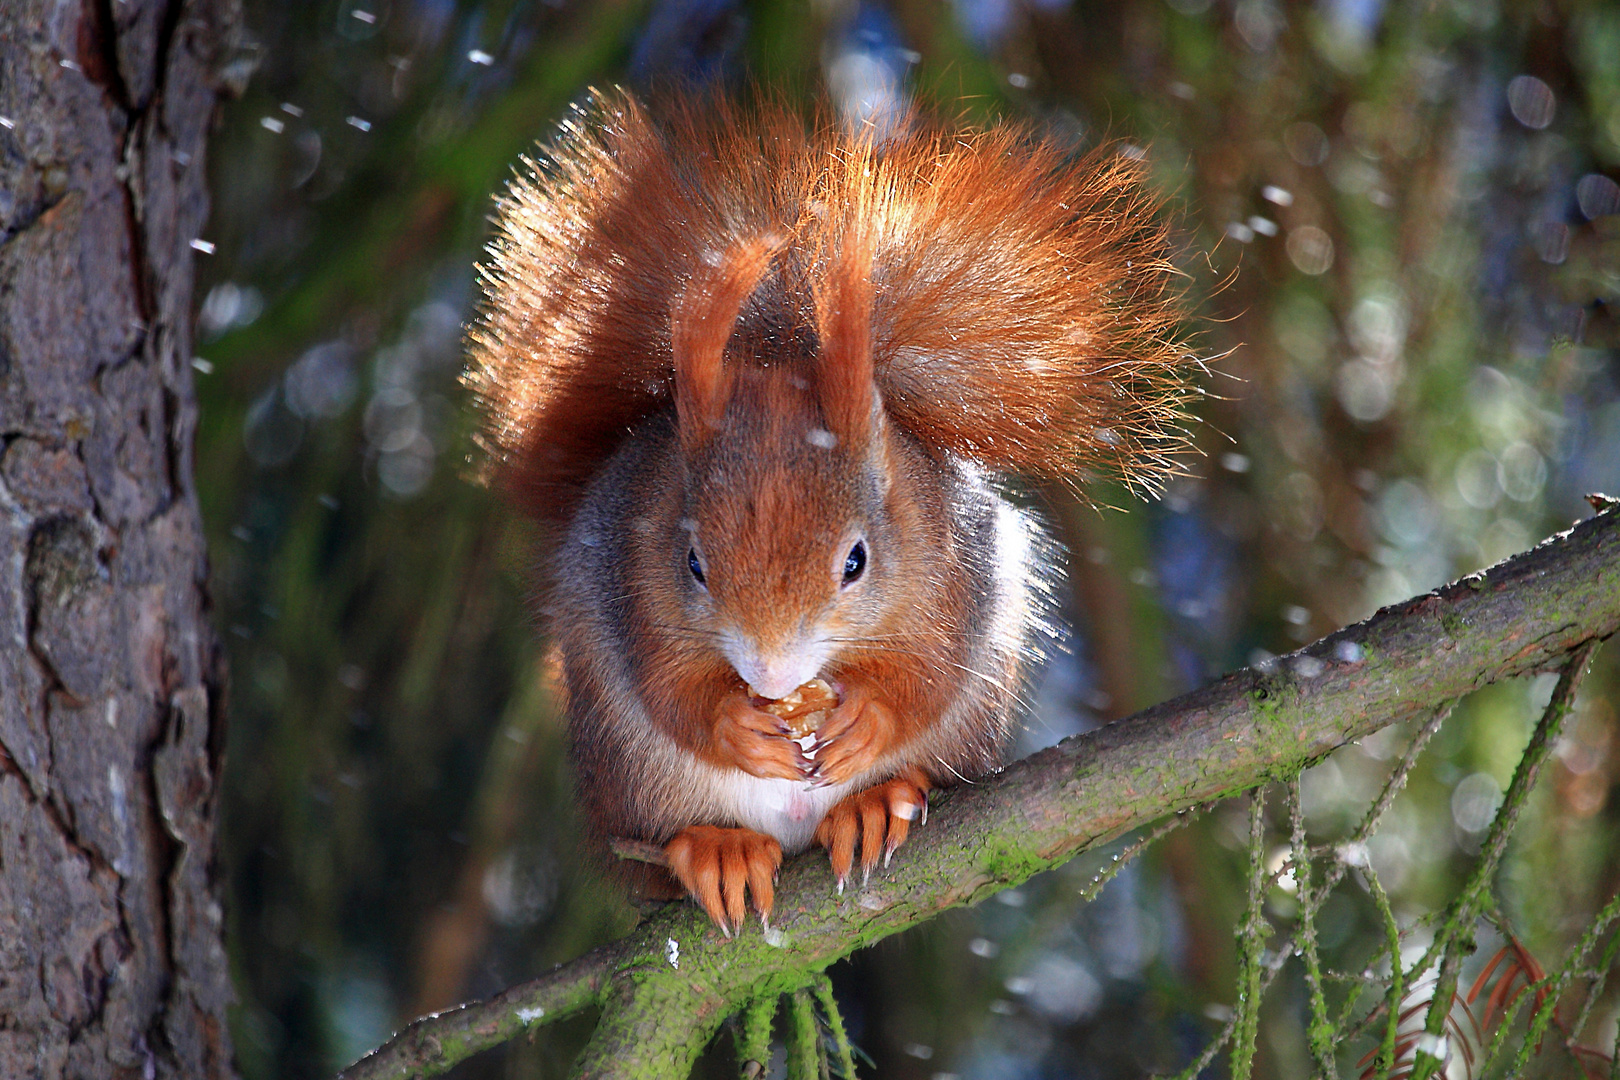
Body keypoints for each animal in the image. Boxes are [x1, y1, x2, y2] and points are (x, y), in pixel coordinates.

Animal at [463, 88, 1198, 932]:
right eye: (693, 563)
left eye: (856, 562)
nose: (771, 674)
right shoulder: (630, 574)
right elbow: (669, 686)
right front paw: (735, 723)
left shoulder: (951, 566)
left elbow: (926, 673)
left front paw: (867, 719)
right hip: (627, 769)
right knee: (659, 845)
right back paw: (715, 849)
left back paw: (880, 802)